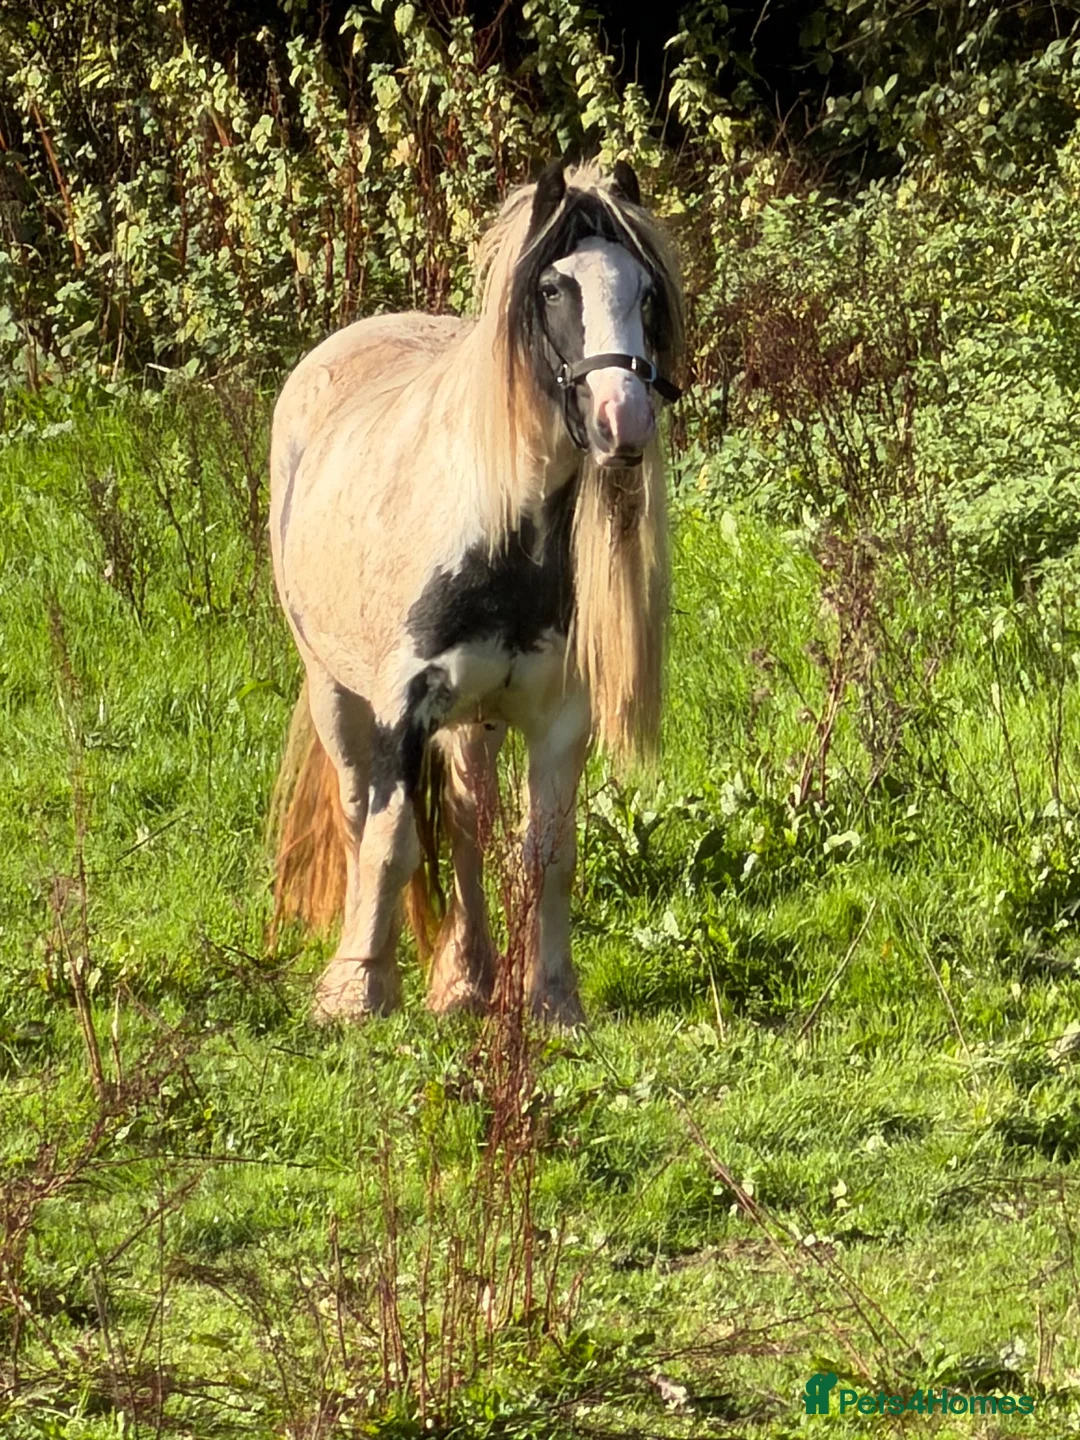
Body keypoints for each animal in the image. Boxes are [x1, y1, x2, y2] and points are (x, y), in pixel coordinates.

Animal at [268, 159, 685, 1025]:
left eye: (644, 293)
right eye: (554, 288)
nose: (623, 420)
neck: (500, 544)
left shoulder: (559, 720)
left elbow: (546, 854)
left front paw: (553, 1001)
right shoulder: (401, 711)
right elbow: (390, 843)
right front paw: (357, 990)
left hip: (476, 719)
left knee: (466, 822)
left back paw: (466, 978)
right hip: (332, 688)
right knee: (360, 816)